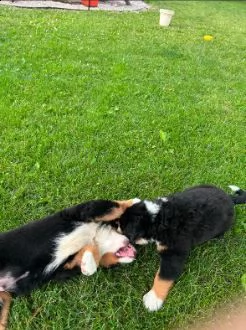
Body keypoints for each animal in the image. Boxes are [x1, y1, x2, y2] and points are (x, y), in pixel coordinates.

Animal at [0, 199, 136, 330]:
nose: (135, 253)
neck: (95, 237)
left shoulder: (66, 265)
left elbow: (87, 255)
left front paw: (87, 264)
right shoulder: (79, 212)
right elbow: (115, 207)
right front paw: (134, 201)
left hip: (5, 298)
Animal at [117, 186, 246, 312]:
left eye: (122, 228)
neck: (158, 218)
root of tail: (230, 198)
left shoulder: (174, 252)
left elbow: (163, 276)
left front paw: (153, 300)